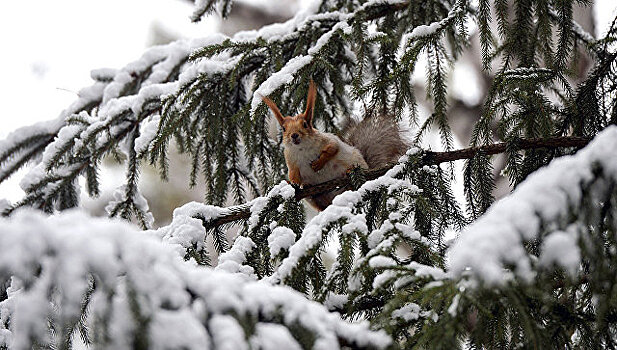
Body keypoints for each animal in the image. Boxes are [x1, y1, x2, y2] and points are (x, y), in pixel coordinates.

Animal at [262, 80, 410, 211]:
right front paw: (293, 184)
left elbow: (332, 149)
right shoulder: (291, 160)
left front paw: (319, 164)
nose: (294, 135)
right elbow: (293, 173)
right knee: (320, 203)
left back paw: (349, 171)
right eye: (284, 128)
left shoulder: (328, 140)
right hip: (317, 199)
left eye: (305, 124)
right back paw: (310, 188)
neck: (302, 148)